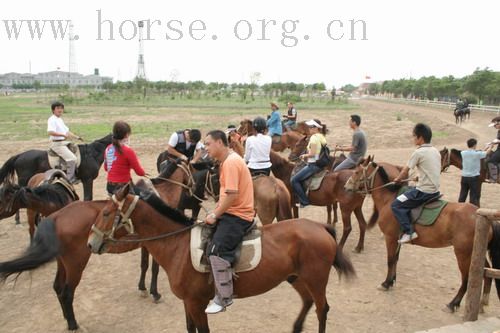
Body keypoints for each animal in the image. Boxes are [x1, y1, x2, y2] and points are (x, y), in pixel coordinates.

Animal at [0, 163, 191, 330]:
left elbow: (144, 265)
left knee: (57, 287)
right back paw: (73, 325)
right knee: (67, 293)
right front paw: (154, 293)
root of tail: (56, 217)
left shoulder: (146, 244)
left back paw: (66, 318)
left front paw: (143, 288)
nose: (192, 187)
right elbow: (154, 269)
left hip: (62, 262)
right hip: (76, 264)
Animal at [88, 184, 358, 332]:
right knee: (308, 302)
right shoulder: (188, 302)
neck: (178, 245)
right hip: (296, 277)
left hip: (316, 279)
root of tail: (320, 227)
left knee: (322, 309)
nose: (90, 242)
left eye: (106, 213)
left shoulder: (197, 304)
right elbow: (189, 328)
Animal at [346, 155, 500, 308]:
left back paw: (454, 303)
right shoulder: (398, 239)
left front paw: (385, 283)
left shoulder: (390, 237)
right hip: (477, 252)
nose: (346, 187)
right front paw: (391, 281)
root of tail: (480, 214)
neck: (389, 199)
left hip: (463, 253)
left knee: (467, 277)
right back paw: (482, 300)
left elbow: (390, 260)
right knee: (483, 272)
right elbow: (395, 259)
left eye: (357, 172)